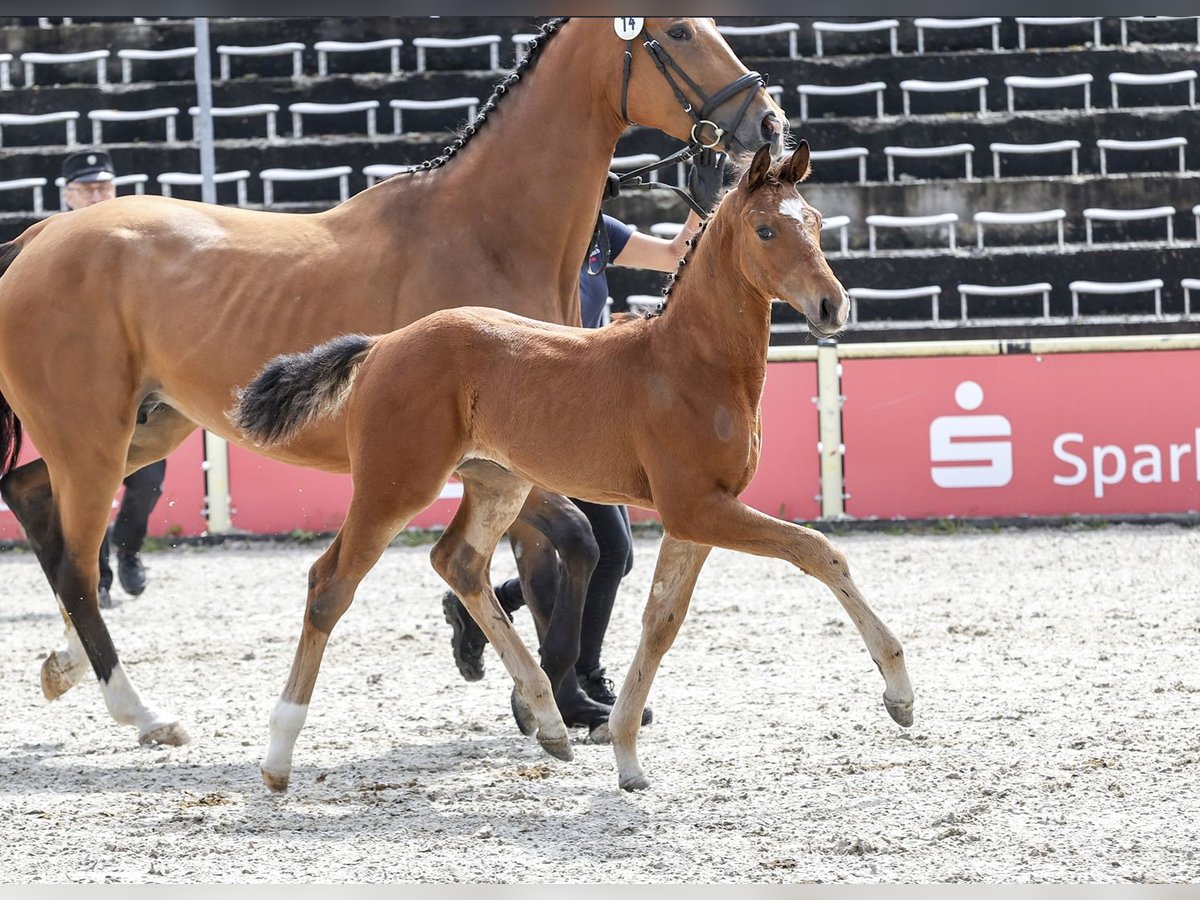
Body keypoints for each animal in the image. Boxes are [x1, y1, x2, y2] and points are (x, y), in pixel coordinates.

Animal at [231, 144, 907, 792]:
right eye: (766, 230)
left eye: (814, 221)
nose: (833, 305)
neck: (689, 364)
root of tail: (381, 345)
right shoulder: (699, 506)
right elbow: (820, 550)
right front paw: (900, 691)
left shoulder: (697, 514)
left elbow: (660, 621)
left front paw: (626, 755)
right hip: (395, 486)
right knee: (329, 585)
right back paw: (277, 759)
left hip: (498, 484)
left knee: (459, 562)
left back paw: (548, 719)